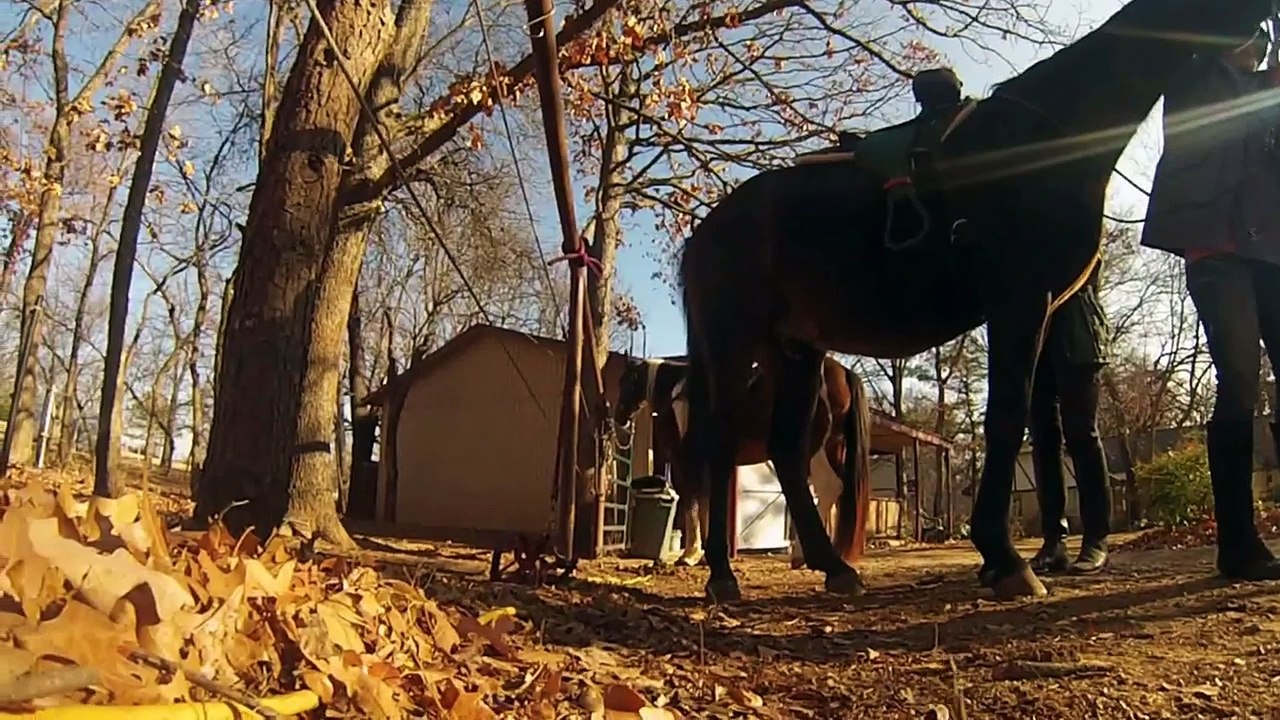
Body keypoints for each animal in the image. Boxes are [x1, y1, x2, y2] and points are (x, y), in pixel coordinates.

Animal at [612, 355, 872, 570]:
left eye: (626, 383)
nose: (619, 419)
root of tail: (842, 372)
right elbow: (706, 503)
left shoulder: (685, 461)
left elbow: (692, 503)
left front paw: (689, 555)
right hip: (833, 448)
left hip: (816, 452)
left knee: (828, 487)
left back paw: (803, 555)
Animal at [679, 0, 1276, 603]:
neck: (1048, 137)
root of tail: (707, 231)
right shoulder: (1019, 302)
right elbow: (1005, 419)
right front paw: (1007, 560)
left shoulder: (1040, 312)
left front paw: (1005, 557)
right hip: (734, 344)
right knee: (719, 444)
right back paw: (724, 576)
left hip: (798, 354)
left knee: (785, 451)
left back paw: (835, 568)